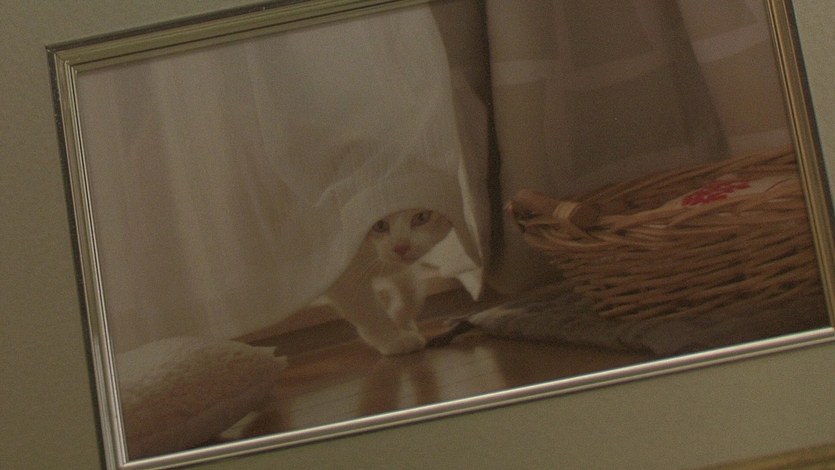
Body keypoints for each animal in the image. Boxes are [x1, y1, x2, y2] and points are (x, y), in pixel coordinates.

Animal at [324, 209, 452, 355]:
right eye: (379, 225)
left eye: (422, 217)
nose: (401, 247)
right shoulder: (344, 277)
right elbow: (367, 310)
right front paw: (394, 339)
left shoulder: (398, 268)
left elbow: (412, 292)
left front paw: (398, 318)